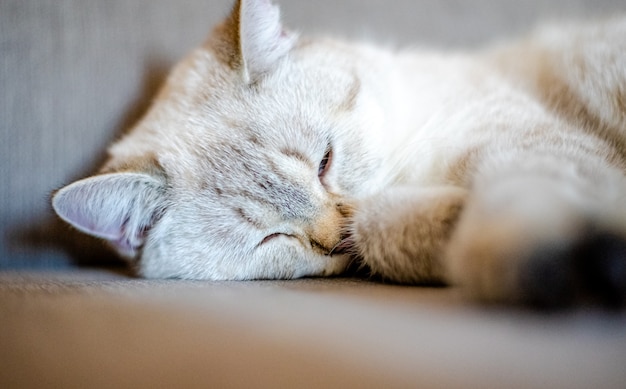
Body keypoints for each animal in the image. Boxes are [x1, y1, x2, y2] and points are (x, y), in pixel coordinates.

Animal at [52, 0, 624, 308]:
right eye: (271, 239)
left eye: (325, 163)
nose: (334, 236)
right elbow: (383, 228)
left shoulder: (523, 140)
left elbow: (519, 196)